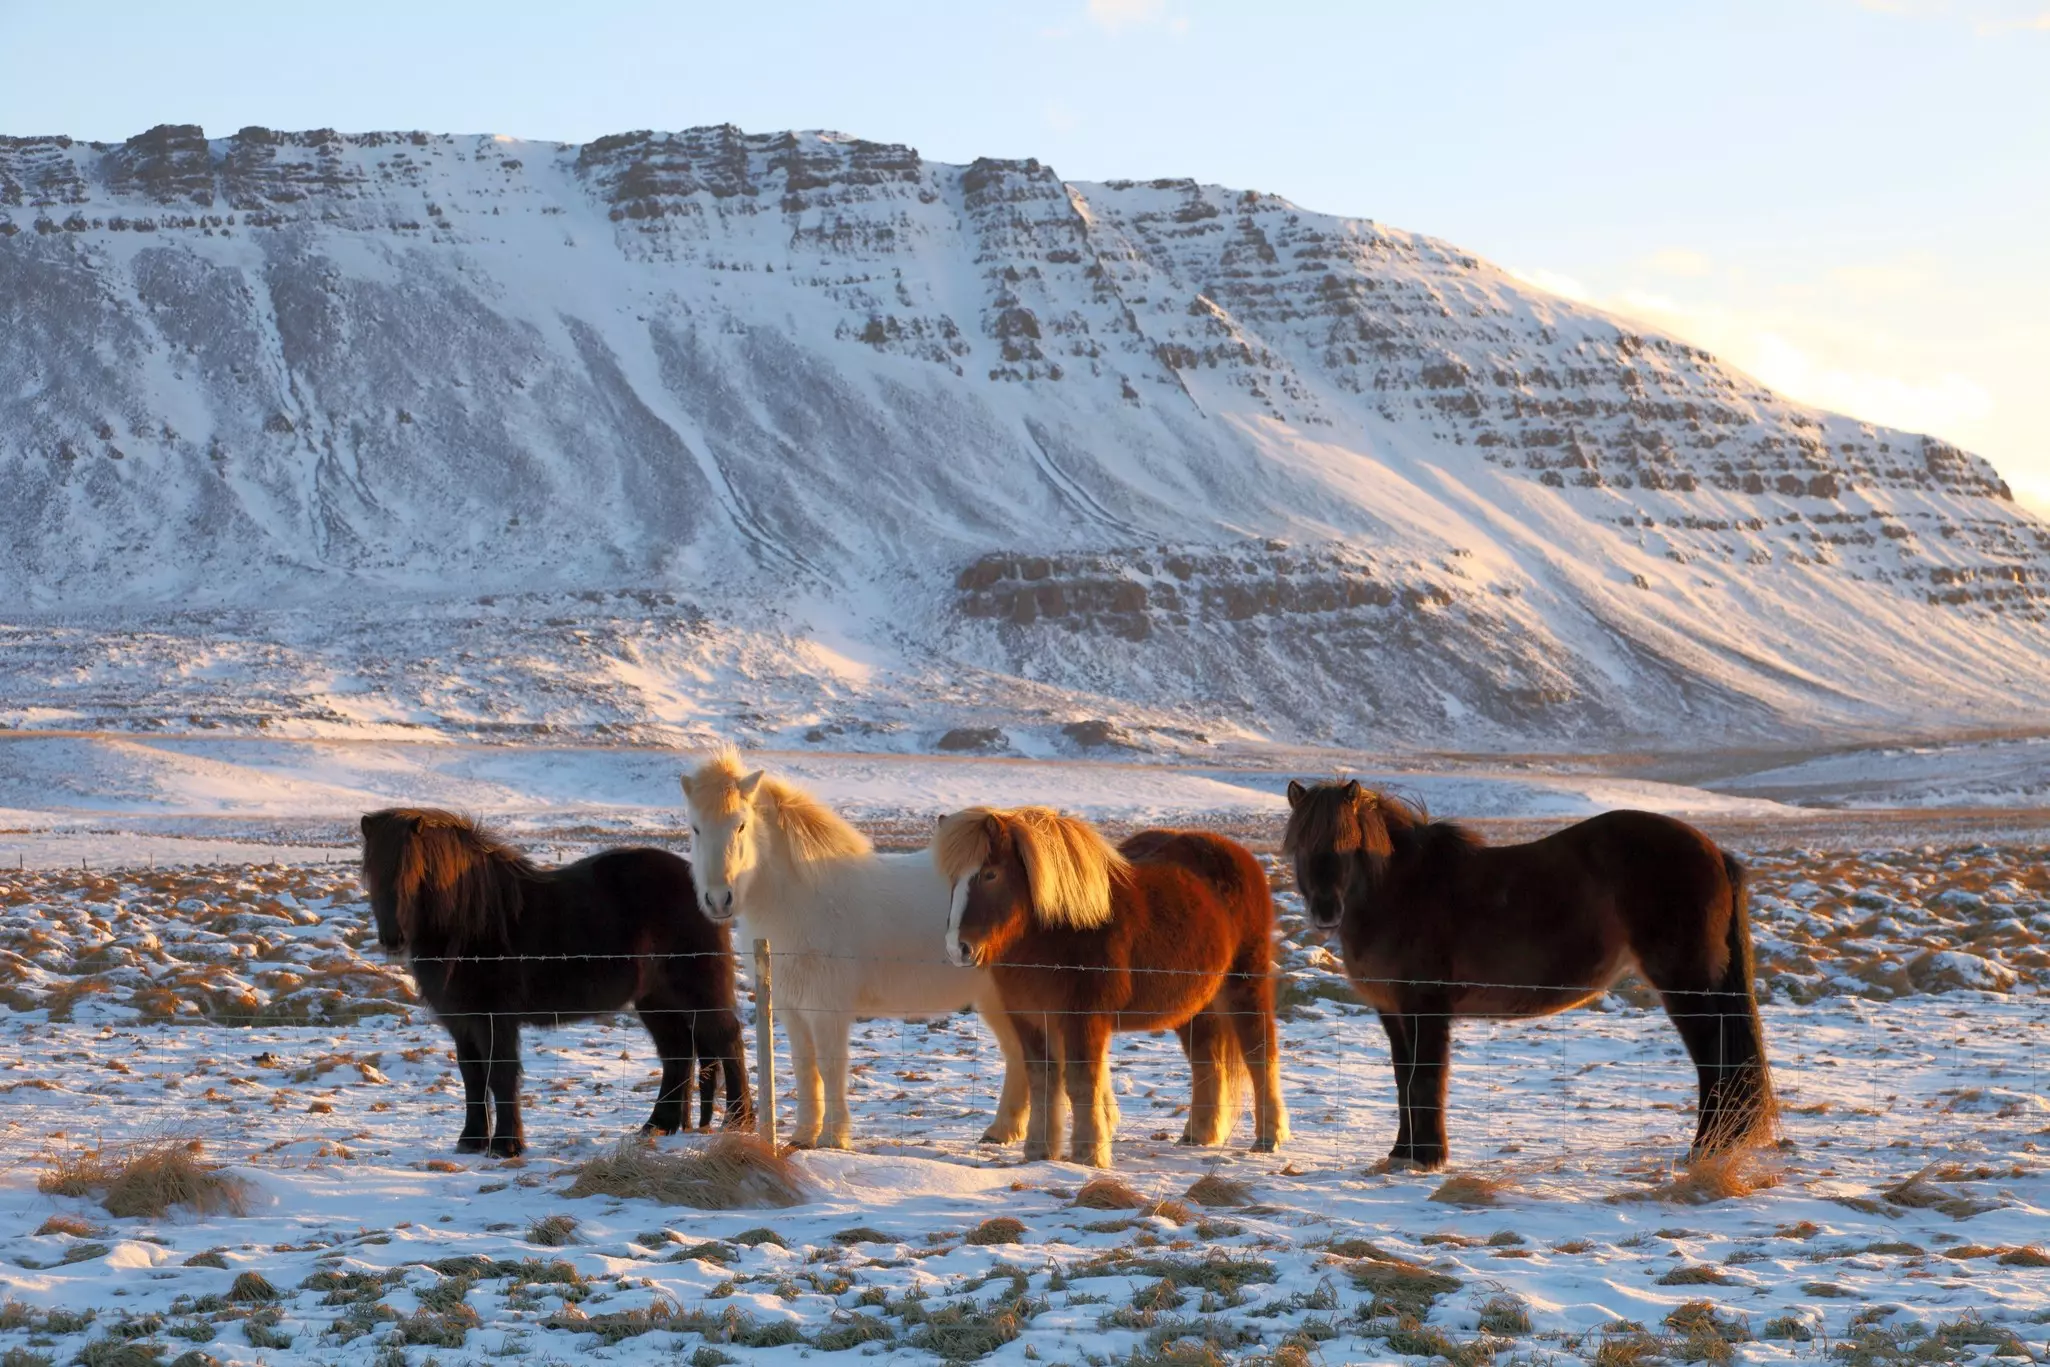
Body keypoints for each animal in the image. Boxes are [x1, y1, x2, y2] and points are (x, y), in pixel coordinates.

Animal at [359, 808, 750, 1157]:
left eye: (413, 873)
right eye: (372, 873)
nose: (392, 938)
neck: (471, 924)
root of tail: (707, 892)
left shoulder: (494, 1022)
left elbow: (500, 1075)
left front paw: (506, 1146)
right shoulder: (463, 1024)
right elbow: (473, 1077)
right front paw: (471, 1141)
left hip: (698, 992)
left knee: (727, 1041)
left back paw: (737, 1121)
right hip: (656, 1001)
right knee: (678, 1053)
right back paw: (658, 1126)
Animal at [681, 750, 1029, 1150]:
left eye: (740, 826)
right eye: (695, 828)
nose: (718, 899)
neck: (801, 901)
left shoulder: (827, 1009)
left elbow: (830, 1066)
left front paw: (833, 1137)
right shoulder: (791, 1009)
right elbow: (805, 1066)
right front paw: (803, 1135)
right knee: (1020, 1057)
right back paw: (1002, 1131)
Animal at [935, 807, 1289, 1168]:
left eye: (990, 874)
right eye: (952, 879)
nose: (957, 949)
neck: (1058, 931)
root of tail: (1240, 856)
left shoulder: (1083, 1017)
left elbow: (1081, 1082)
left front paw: (1089, 1154)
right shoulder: (1029, 1017)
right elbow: (1041, 1079)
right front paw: (1038, 1151)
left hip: (1245, 984)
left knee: (1260, 1053)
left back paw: (1268, 1137)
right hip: (1195, 1004)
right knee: (1207, 1059)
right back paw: (1198, 1135)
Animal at [1281, 780, 1776, 1170]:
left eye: (1347, 842)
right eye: (1301, 847)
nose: (1325, 911)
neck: (1401, 890)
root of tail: (1714, 851)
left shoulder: (1426, 1007)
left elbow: (1425, 1078)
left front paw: (1429, 1157)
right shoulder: (1393, 1013)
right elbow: (1404, 1079)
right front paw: (1402, 1153)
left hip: (1685, 984)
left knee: (1713, 1060)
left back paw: (1706, 1148)